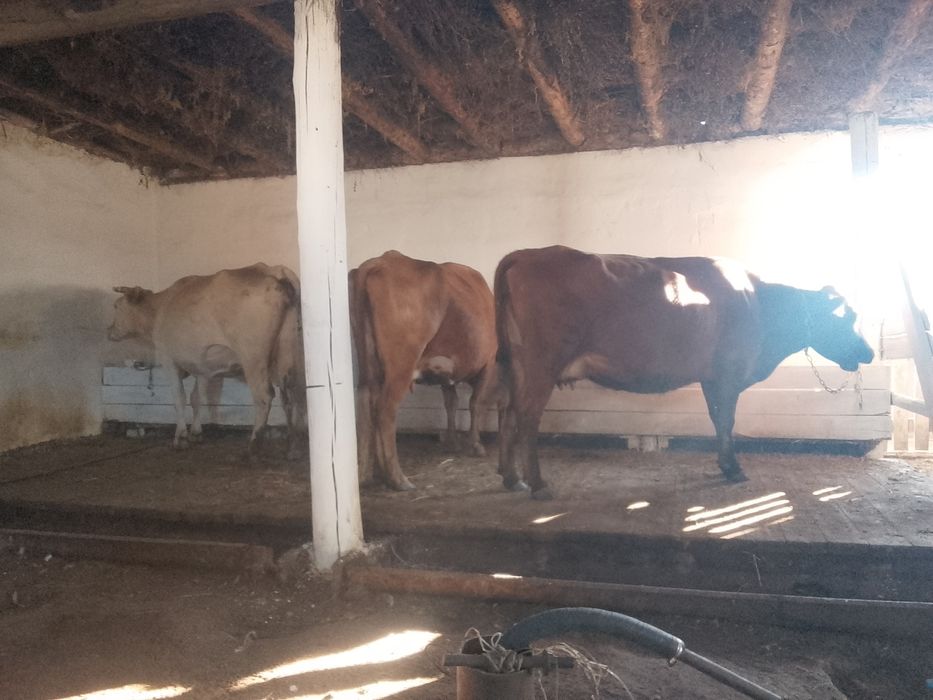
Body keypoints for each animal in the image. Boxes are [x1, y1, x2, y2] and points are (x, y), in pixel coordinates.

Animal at [108, 263, 306, 459]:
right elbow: (198, 398)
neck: (159, 309)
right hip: (288, 347)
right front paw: (196, 433)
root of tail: (273, 269)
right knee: (291, 392)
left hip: (253, 356)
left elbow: (179, 398)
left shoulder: (168, 359)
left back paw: (254, 447)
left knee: (264, 395)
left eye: (116, 306)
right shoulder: (202, 367)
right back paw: (293, 447)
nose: (109, 330)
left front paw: (180, 438)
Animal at [351, 250, 501, 491]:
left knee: (365, 404)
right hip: (400, 366)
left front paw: (452, 441)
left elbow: (451, 403)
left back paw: (367, 473)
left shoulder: (447, 375)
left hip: (368, 366)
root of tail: (382, 260)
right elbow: (476, 403)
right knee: (385, 409)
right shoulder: (488, 364)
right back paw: (397, 478)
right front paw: (475, 445)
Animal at [494, 245, 875, 499]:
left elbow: (717, 419)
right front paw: (734, 468)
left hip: (516, 367)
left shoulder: (711, 376)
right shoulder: (729, 373)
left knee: (508, 413)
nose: (869, 353)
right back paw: (538, 484)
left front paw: (725, 465)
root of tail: (528, 254)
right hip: (541, 363)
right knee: (526, 416)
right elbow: (727, 420)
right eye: (849, 317)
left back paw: (512, 478)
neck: (761, 305)